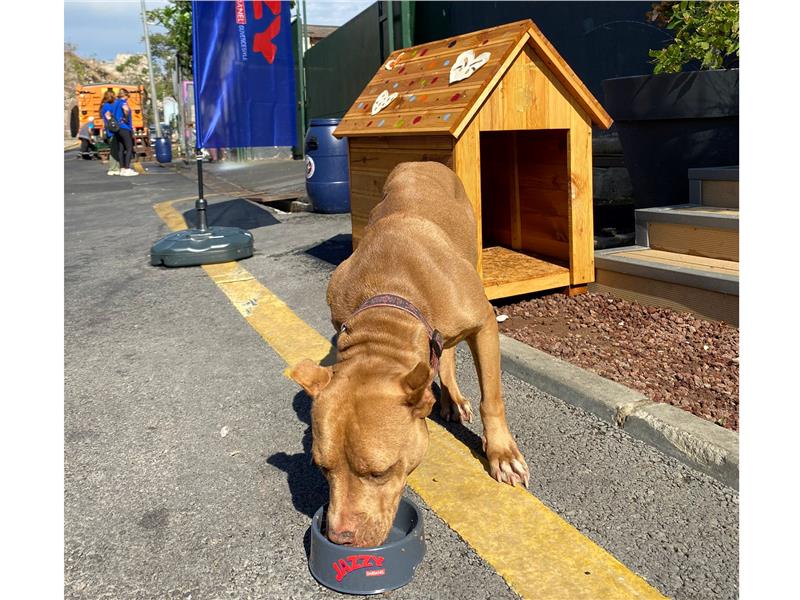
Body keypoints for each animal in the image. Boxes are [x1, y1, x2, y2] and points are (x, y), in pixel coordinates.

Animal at [290, 162, 528, 548]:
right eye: (322, 468)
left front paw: (502, 454)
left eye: (380, 471)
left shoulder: (485, 325)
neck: (390, 302)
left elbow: (491, 399)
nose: (338, 538)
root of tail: (421, 163)